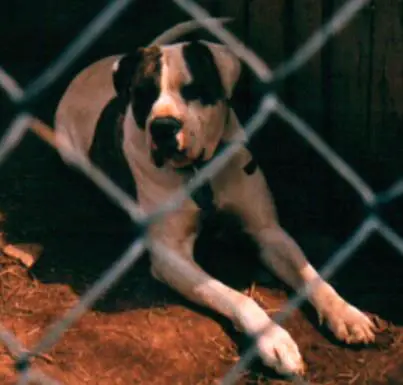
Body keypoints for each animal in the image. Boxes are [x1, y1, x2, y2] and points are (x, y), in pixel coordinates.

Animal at [55, 18, 378, 376]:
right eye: (143, 95)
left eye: (194, 90)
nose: (163, 127)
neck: (201, 171)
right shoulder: (171, 256)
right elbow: (237, 297)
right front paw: (275, 341)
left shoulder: (267, 231)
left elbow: (312, 276)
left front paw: (346, 313)